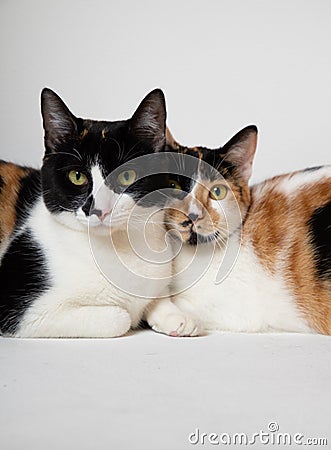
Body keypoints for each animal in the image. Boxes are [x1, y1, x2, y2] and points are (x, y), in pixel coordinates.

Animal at [0, 89, 198, 338]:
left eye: (127, 176)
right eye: (77, 176)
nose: (98, 209)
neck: (118, 248)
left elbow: (157, 295)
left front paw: (176, 316)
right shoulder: (22, 308)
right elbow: (121, 317)